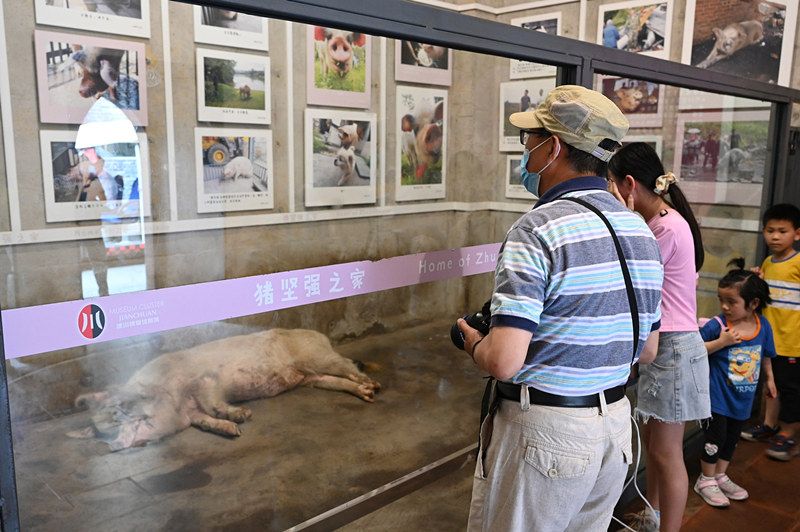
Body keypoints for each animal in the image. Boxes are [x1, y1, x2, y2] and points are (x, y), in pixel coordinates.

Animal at [69, 330, 382, 450]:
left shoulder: (204, 381)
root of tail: (321, 335)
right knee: (338, 381)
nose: (114, 444)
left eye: (118, 411)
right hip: (312, 377)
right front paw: (233, 431)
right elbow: (206, 421)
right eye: (101, 433)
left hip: (315, 356)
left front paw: (243, 416)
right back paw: (367, 393)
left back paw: (374, 385)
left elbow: (212, 402)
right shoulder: (191, 414)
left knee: (347, 365)